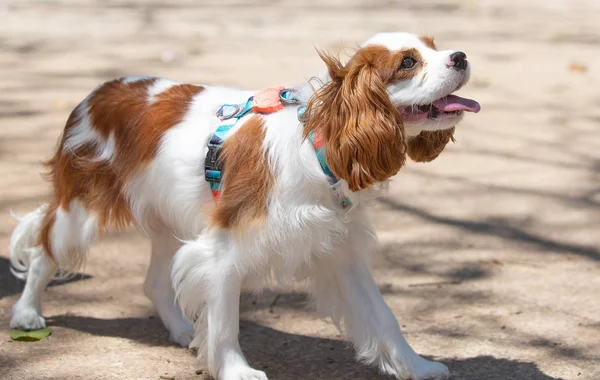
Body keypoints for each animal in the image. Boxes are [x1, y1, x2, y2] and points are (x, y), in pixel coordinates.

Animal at [9, 33, 480, 380]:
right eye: (408, 62)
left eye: (434, 45)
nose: (460, 56)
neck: (319, 143)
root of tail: (97, 92)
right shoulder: (222, 250)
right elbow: (225, 322)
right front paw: (236, 370)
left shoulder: (339, 250)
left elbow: (383, 317)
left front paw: (416, 365)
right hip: (80, 210)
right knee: (43, 251)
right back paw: (28, 313)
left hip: (168, 219)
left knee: (155, 283)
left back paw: (182, 330)